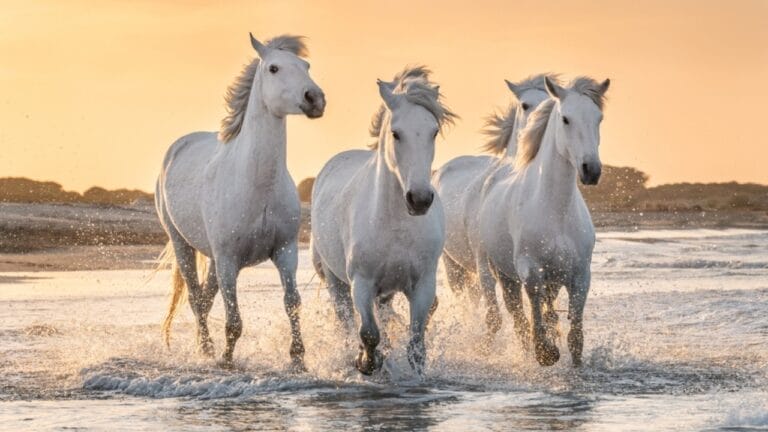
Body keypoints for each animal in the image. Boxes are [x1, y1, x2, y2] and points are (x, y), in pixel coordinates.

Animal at [155, 33, 326, 369]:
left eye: (306, 66)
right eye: (273, 68)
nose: (315, 99)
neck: (256, 185)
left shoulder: (285, 252)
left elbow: (292, 303)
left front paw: (298, 359)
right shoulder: (228, 260)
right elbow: (233, 319)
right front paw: (226, 361)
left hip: (213, 259)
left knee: (205, 299)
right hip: (183, 245)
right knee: (195, 297)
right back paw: (207, 350)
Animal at [310, 66, 456, 375]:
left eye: (434, 131)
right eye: (396, 133)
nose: (419, 199)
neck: (396, 225)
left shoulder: (422, 285)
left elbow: (415, 340)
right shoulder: (362, 284)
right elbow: (368, 332)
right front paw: (366, 362)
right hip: (336, 282)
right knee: (345, 321)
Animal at [468, 76, 610, 366]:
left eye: (599, 118)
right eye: (566, 119)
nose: (591, 170)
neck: (556, 211)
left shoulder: (580, 273)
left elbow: (575, 334)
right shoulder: (530, 269)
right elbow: (534, 306)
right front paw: (545, 351)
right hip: (498, 271)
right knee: (515, 313)